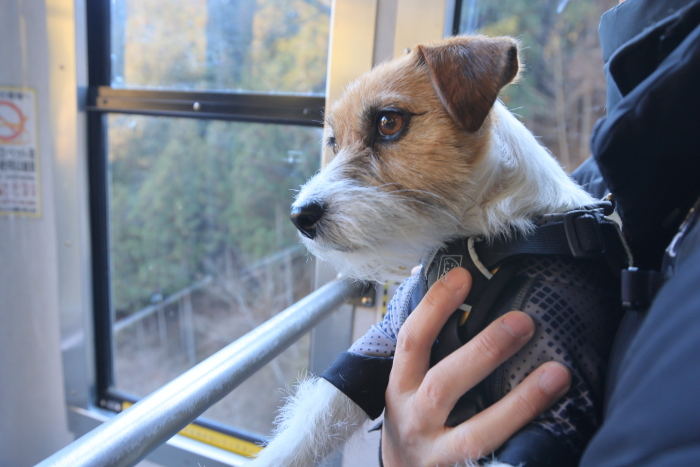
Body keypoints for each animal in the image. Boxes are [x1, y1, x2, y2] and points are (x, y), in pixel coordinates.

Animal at [250, 35, 599, 467]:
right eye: (333, 143)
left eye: (389, 122)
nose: (301, 216)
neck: (477, 246)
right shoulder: (382, 342)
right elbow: (314, 421)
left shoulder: (559, 392)